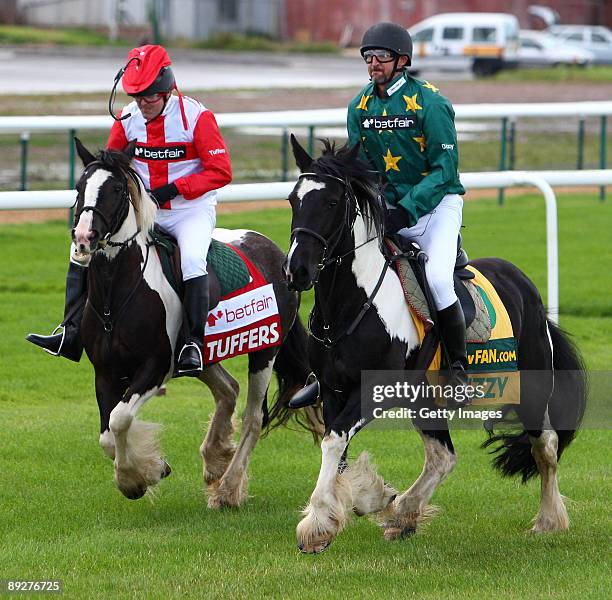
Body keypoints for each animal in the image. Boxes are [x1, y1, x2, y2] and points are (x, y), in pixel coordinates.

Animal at [71, 141, 320, 506]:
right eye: (79, 187)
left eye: (116, 189)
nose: (83, 238)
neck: (116, 296)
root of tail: (276, 253)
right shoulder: (104, 371)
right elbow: (107, 434)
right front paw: (151, 467)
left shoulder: (154, 368)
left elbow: (119, 419)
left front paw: (135, 479)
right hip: (204, 357)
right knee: (229, 390)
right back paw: (216, 459)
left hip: (265, 351)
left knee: (253, 418)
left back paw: (229, 488)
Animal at [284, 136, 584, 552]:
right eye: (293, 200)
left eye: (330, 202)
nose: (296, 270)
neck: (350, 305)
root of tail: (526, 287)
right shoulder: (332, 390)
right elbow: (337, 448)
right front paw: (365, 499)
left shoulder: (374, 390)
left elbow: (333, 442)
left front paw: (315, 524)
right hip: (425, 400)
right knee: (443, 456)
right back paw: (403, 514)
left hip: (531, 389)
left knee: (546, 446)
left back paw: (549, 520)